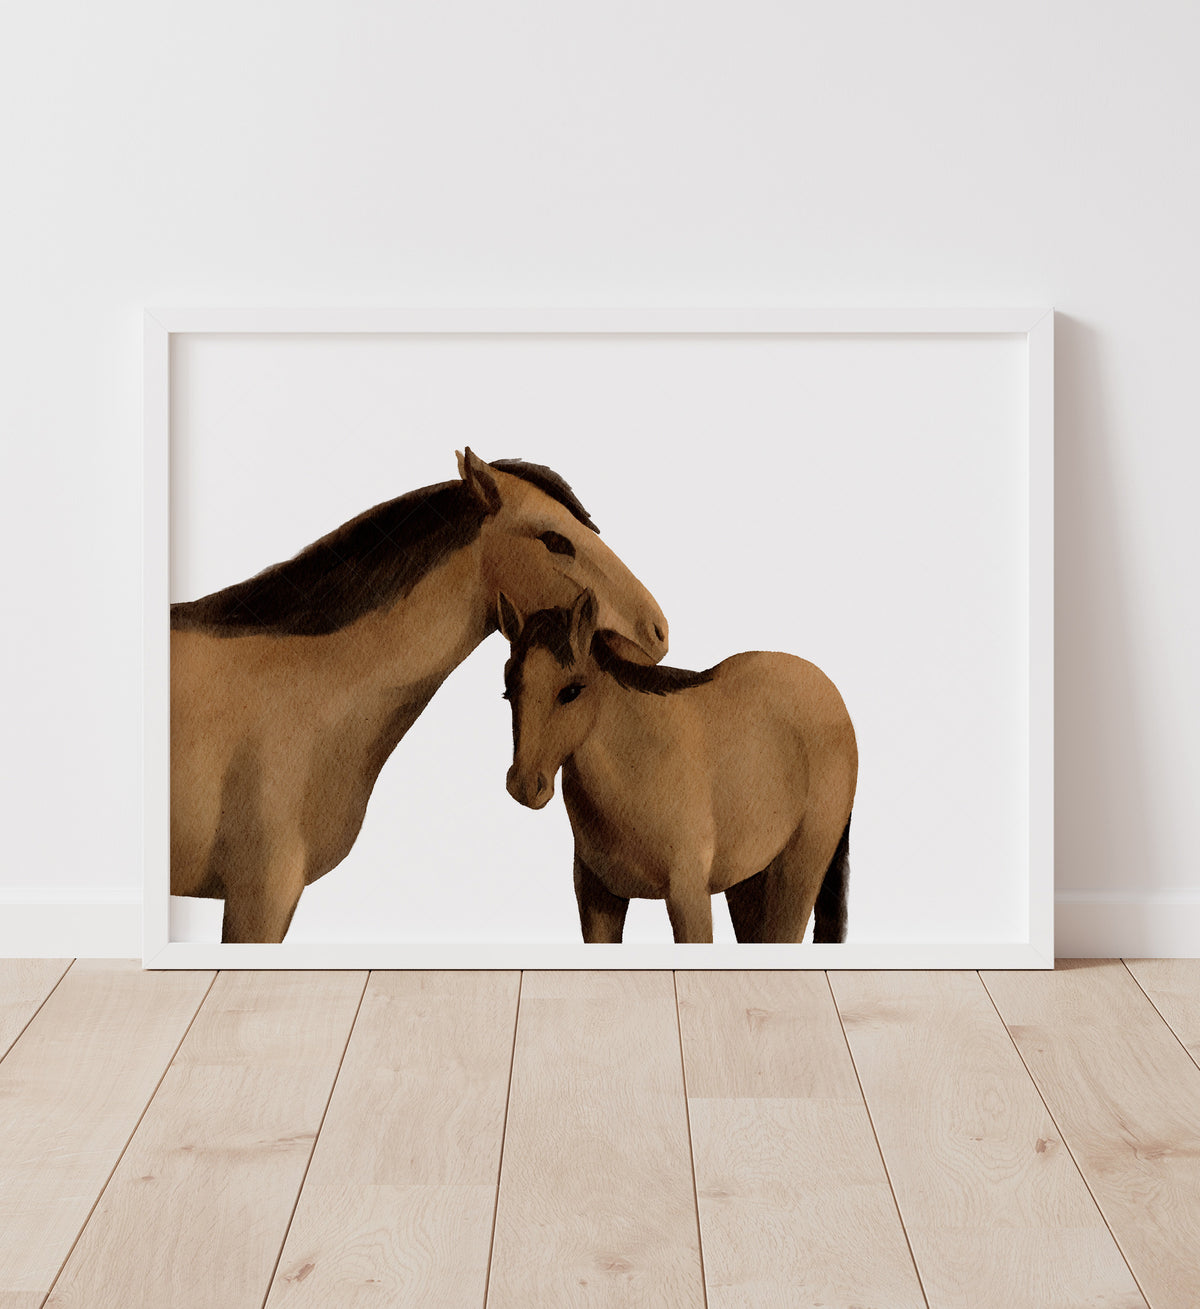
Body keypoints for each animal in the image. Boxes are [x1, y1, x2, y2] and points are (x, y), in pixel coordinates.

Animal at [498, 589, 857, 944]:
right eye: (508, 691)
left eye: (571, 691)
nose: (525, 785)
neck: (639, 764)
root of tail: (831, 693)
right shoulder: (598, 898)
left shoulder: (688, 896)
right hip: (749, 878)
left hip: (797, 870)